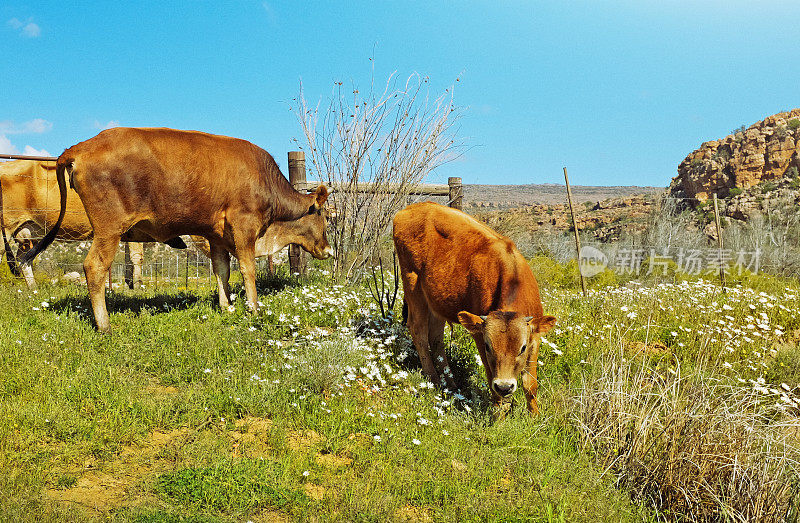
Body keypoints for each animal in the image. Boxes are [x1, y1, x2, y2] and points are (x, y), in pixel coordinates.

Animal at [0, 161, 158, 288]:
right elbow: (137, 256)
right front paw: (137, 286)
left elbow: (130, 256)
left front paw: (131, 285)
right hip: (6, 228)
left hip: (30, 230)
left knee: (23, 258)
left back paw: (34, 289)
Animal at [22, 128, 332, 332]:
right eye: (325, 216)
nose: (329, 250)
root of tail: (82, 146)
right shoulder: (245, 226)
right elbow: (247, 269)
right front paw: (253, 309)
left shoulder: (216, 235)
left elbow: (222, 270)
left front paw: (227, 306)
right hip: (109, 230)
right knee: (94, 266)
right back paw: (105, 325)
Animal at [394, 202, 556, 418]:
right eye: (488, 346)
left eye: (522, 348)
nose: (504, 386)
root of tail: (414, 207)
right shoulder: (479, 335)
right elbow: (490, 374)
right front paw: (499, 414)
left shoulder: (535, 338)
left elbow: (530, 384)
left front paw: (534, 416)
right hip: (412, 283)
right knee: (418, 330)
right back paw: (433, 378)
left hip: (436, 302)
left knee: (435, 338)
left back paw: (450, 383)